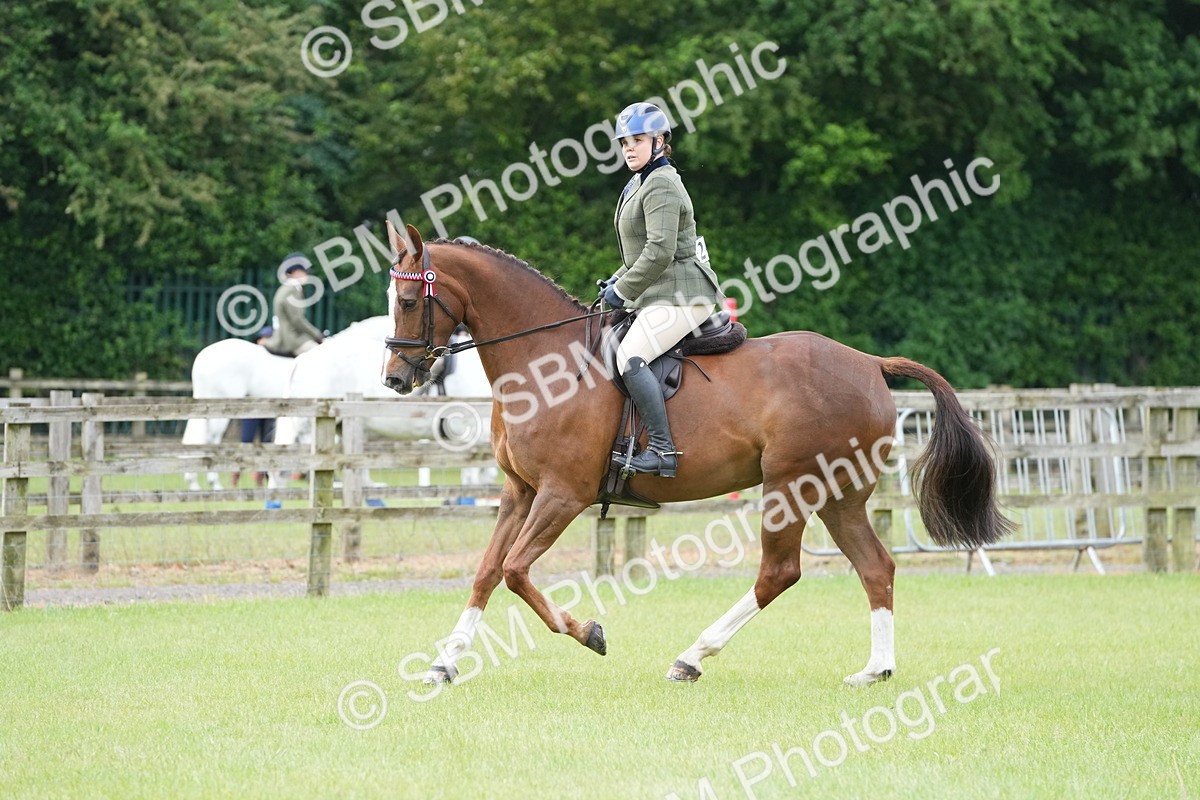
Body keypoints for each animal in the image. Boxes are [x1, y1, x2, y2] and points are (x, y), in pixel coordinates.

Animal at [382, 222, 1012, 686]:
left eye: (409, 300)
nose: (393, 377)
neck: (544, 362)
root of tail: (869, 363)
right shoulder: (521, 491)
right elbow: (488, 572)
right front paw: (443, 663)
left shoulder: (563, 494)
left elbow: (515, 571)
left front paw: (589, 632)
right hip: (840, 495)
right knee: (876, 567)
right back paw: (875, 670)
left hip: (791, 486)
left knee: (779, 572)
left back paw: (692, 656)